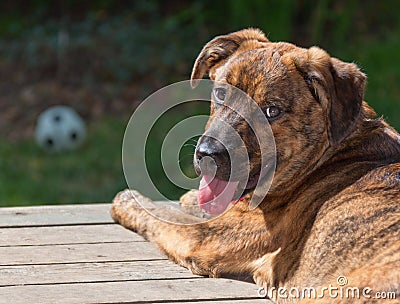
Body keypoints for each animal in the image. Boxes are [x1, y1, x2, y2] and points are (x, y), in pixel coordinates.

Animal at [111, 27, 400, 302]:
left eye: (272, 111)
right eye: (220, 93)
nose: (207, 155)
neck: (329, 157)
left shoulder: (201, 238)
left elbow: (159, 215)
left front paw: (129, 200)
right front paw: (192, 199)